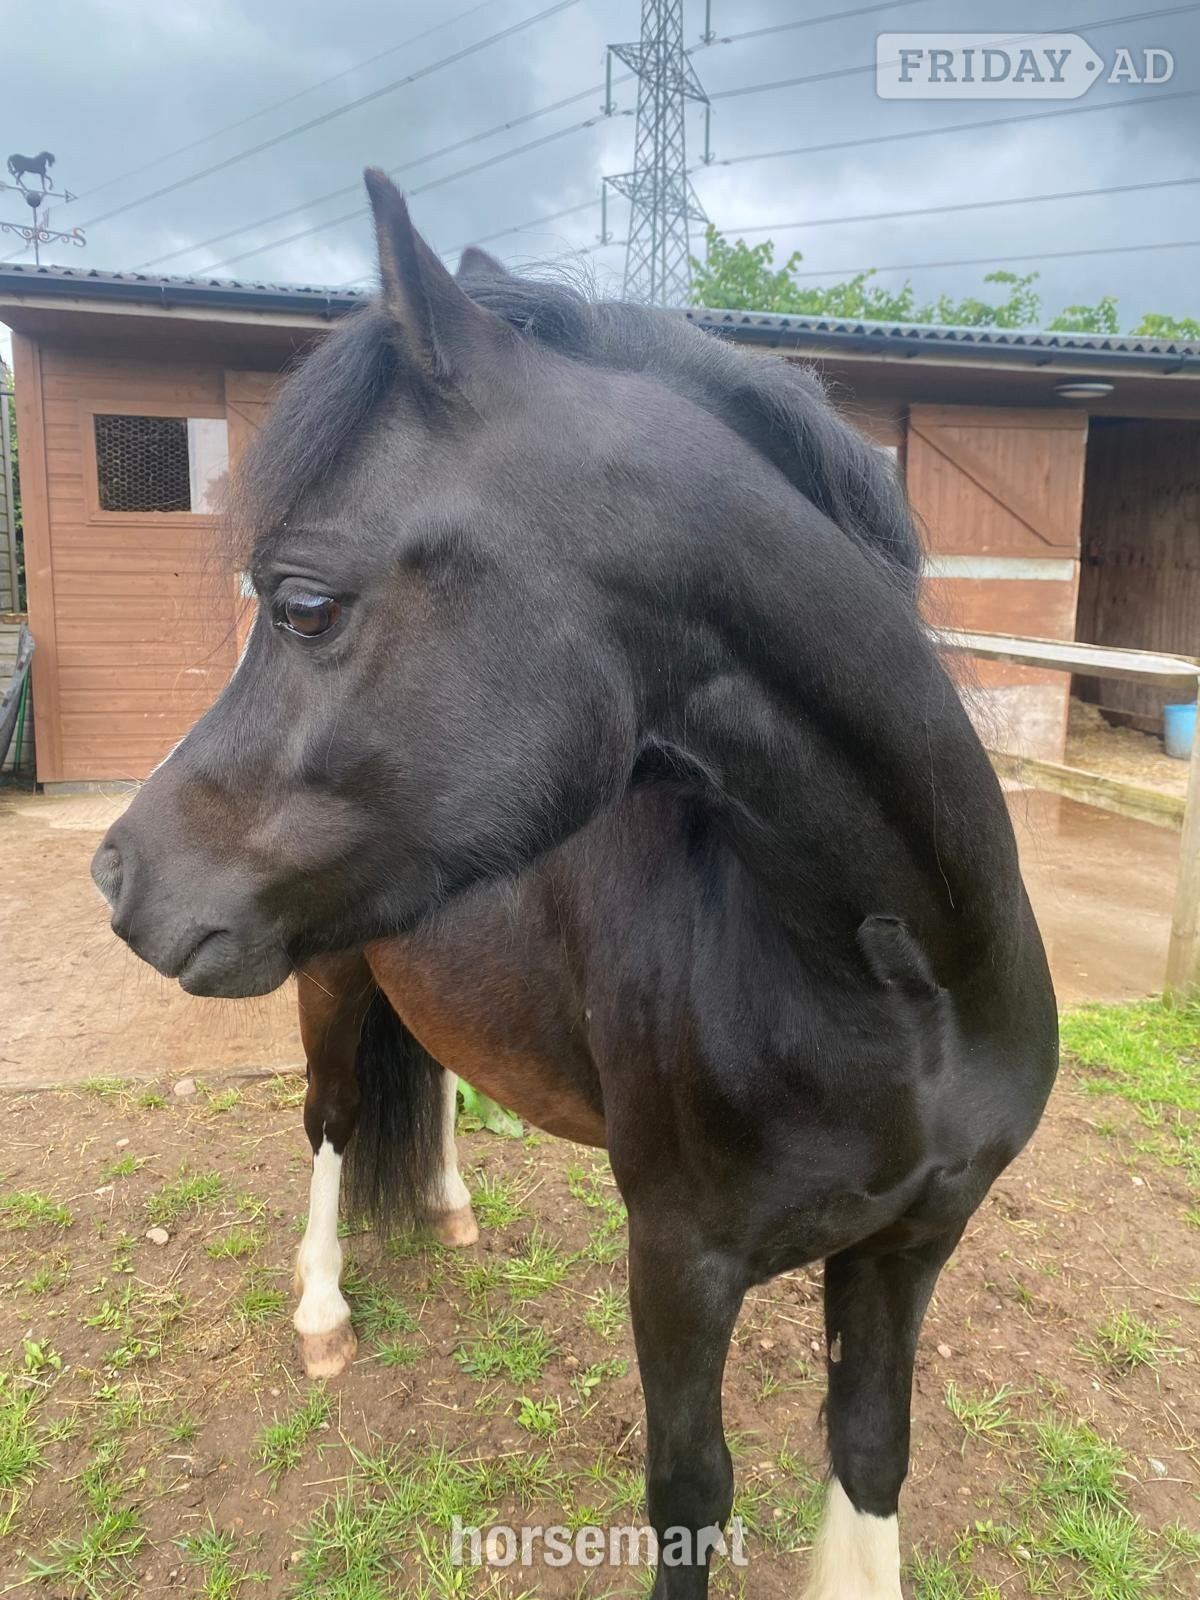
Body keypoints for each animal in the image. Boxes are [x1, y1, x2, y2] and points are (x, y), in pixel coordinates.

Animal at [92, 169, 1058, 1600]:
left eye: (306, 605)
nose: (117, 871)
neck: (904, 985)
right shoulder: (678, 1262)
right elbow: (691, 1493)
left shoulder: (911, 1246)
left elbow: (872, 1460)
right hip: (328, 977)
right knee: (330, 1119)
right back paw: (322, 1308)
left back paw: (448, 1206)